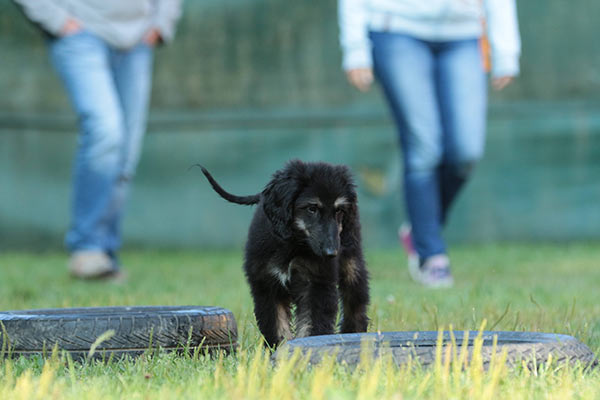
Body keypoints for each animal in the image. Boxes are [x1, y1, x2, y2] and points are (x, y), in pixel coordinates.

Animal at [199, 160, 368, 346]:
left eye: (339, 210)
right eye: (312, 208)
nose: (331, 253)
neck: (293, 244)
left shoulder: (317, 283)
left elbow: (312, 324)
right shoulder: (267, 284)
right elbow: (276, 324)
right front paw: (279, 347)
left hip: (352, 261)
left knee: (356, 300)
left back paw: (355, 332)